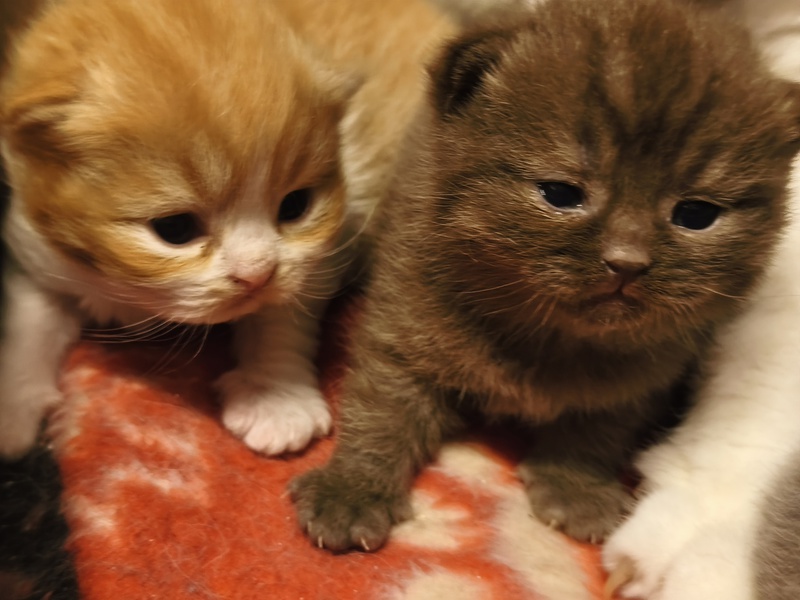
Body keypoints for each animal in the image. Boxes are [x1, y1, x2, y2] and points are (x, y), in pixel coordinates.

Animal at [0, 0, 452, 459]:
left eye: (295, 206)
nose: (256, 274)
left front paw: (276, 398)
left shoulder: (329, 244)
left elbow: (281, 312)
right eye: (176, 228)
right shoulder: (36, 247)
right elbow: (31, 321)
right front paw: (13, 403)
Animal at [289, 0, 800, 552]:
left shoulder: (641, 378)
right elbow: (381, 409)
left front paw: (577, 489)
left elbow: (597, 432)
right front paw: (351, 489)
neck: (549, 336)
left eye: (696, 215)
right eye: (560, 193)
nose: (627, 261)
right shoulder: (406, 325)